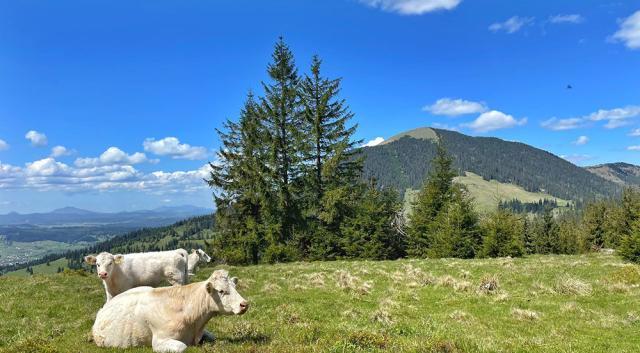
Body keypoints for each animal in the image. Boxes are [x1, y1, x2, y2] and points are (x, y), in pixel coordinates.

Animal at [92, 268, 248, 350]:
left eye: (234, 287)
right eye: (221, 291)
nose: (244, 304)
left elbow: (212, 337)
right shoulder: (160, 341)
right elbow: (182, 347)